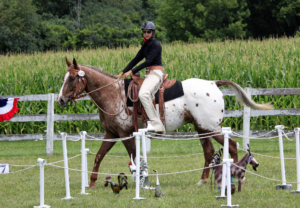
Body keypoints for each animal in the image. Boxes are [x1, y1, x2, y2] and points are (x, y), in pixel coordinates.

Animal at [56, 57, 274, 188]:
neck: (113, 94)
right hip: (202, 129)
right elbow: (99, 156)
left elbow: (135, 158)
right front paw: (92, 182)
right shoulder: (112, 134)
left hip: (211, 127)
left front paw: (141, 181)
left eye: (73, 78)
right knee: (209, 152)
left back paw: (237, 176)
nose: (61, 100)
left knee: (233, 145)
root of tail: (213, 83)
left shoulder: (125, 135)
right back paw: (203, 180)